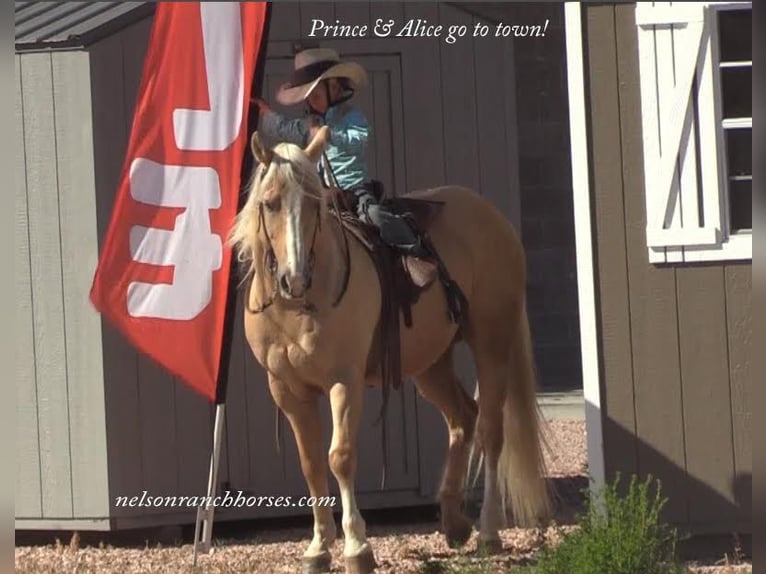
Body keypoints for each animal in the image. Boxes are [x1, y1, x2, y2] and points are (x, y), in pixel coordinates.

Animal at [228, 128, 552, 572]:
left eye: (314, 204)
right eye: (269, 202)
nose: (295, 279)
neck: (299, 306)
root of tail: (493, 218)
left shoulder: (343, 382)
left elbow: (340, 456)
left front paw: (356, 547)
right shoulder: (287, 390)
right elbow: (311, 463)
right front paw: (318, 547)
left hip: (492, 342)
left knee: (490, 430)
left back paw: (488, 531)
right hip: (430, 364)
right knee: (462, 417)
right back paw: (454, 522)